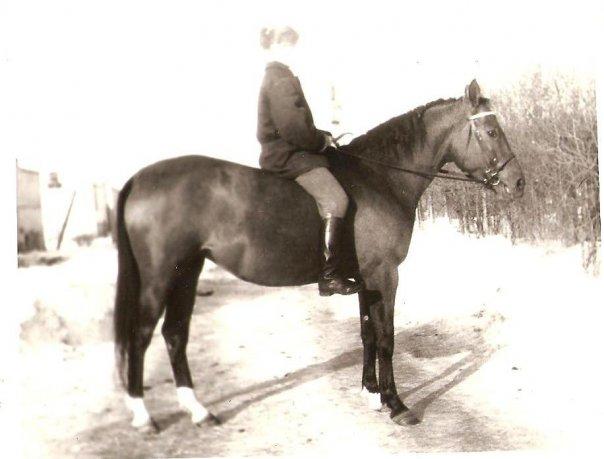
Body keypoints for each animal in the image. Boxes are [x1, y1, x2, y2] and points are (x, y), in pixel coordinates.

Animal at [113, 79, 525, 432]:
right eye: (491, 131)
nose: (519, 183)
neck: (381, 178)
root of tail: (137, 180)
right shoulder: (384, 274)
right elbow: (386, 337)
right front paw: (396, 405)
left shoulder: (365, 278)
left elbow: (367, 334)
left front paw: (371, 394)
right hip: (161, 278)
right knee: (142, 335)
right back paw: (142, 415)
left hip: (187, 271)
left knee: (174, 334)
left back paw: (198, 411)